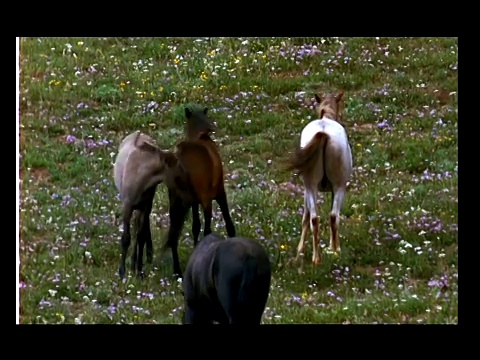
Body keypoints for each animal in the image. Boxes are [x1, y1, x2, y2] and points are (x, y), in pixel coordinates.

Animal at [286, 92, 350, 268]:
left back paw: (316, 258)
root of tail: (323, 133)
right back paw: (335, 252)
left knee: (315, 218)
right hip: (339, 186)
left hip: (311, 186)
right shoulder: (334, 189)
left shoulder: (308, 189)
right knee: (333, 216)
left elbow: (306, 217)